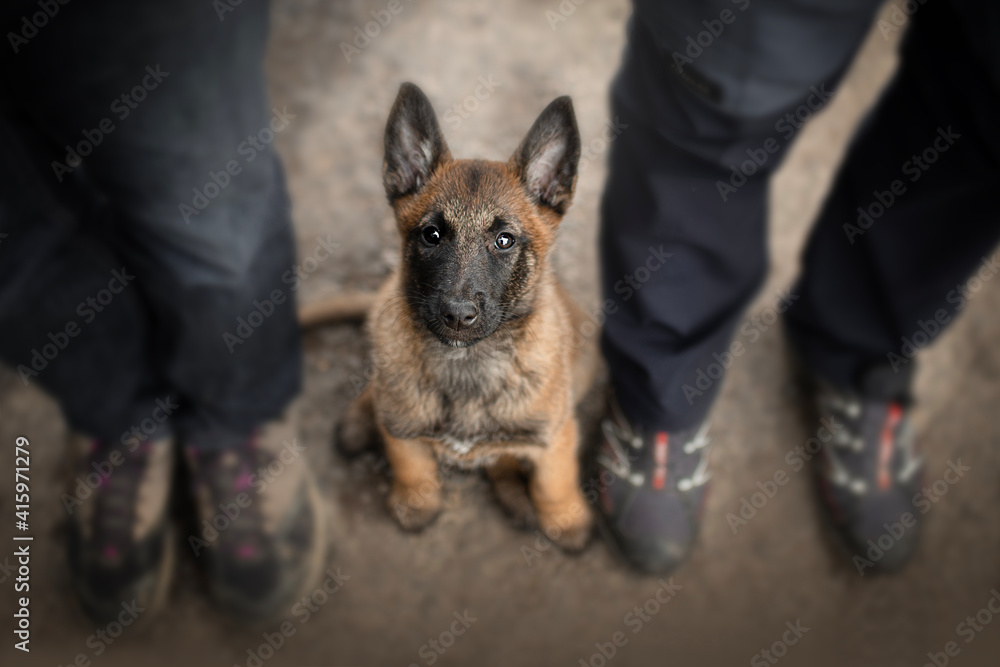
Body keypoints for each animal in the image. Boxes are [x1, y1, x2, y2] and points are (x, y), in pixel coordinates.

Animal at [340, 83, 596, 552]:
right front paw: (416, 502)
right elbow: (411, 463)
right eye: (432, 235)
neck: (467, 364)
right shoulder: (405, 436)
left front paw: (564, 517)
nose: (458, 316)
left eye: (504, 240)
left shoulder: (555, 433)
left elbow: (553, 480)